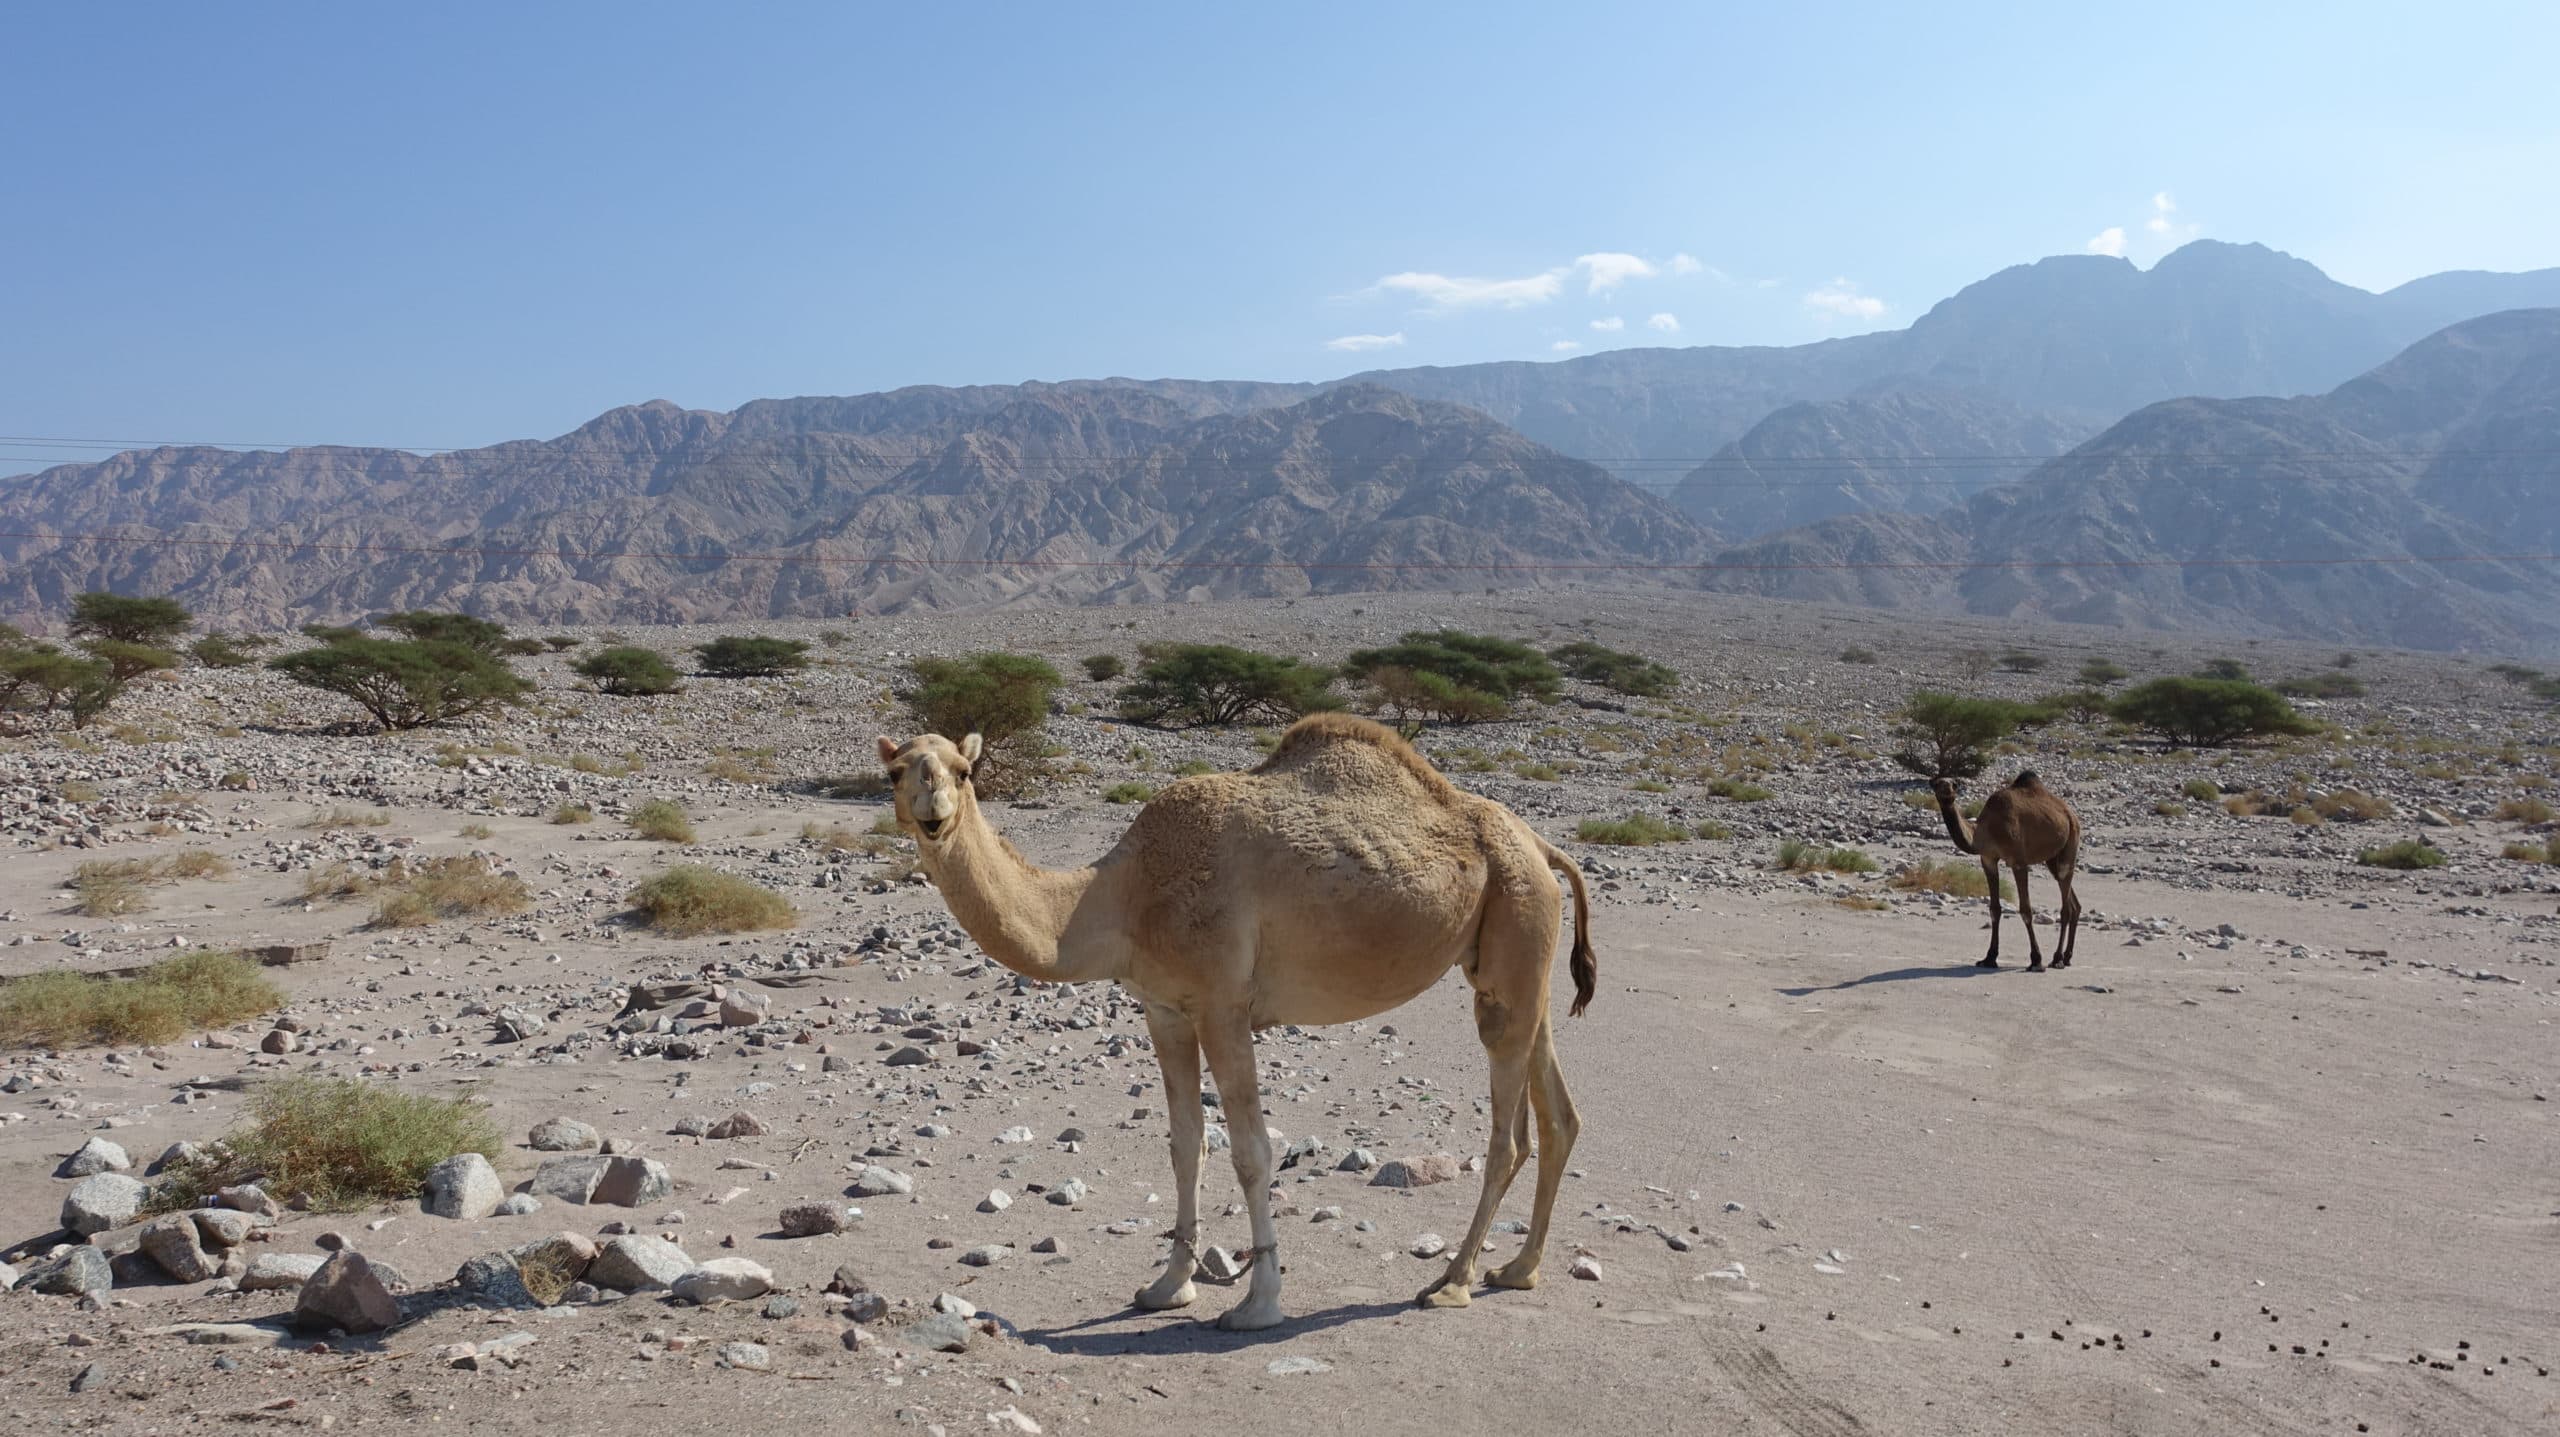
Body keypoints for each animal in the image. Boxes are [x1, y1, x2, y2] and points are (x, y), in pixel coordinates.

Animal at [885, 712, 1597, 1331]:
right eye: (897, 773)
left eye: (964, 770)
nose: (934, 812)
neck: (1121, 897)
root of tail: (1541, 844)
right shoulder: (1165, 1008)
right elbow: (1185, 1143)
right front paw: (1169, 1286)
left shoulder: (1223, 1003)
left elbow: (1252, 1153)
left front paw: (1258, 1303)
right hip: (1514, 952)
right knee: (1556, 1110)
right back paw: (1519, 1269)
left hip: (1516, 920)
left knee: (1508, 1134)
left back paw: (1452, 1281)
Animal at [1925, 768, 2088, 968]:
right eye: (1937, 784)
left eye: (1954, 784)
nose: (1946, 789)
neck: (1986, 830)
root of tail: (2070, 814)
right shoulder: (1988, 859)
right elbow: (1994, 909)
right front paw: (1989, 957)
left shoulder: (2018, 861)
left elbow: (2026, 909)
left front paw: (2036, 960)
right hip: (2052, 858)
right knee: (2073, 903)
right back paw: (2067, 957)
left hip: (2071, 842)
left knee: (2065, 907)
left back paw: (2057, 959)